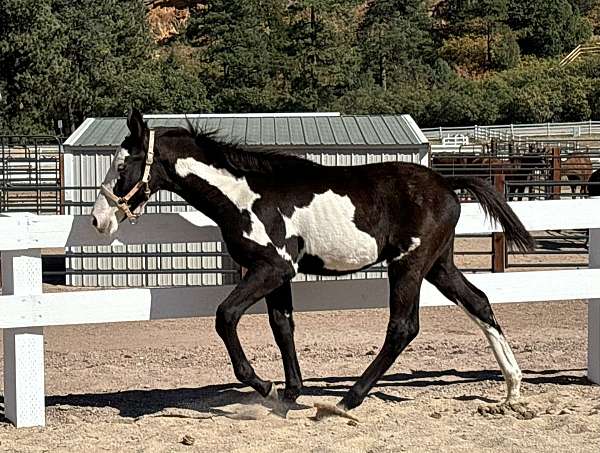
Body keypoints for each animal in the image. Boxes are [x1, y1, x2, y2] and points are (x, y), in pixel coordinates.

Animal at [90, 108, 536, 416]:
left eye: (122, 165)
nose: (98, 220)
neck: (245, 196)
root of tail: (446, 181)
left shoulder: (272, 268)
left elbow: (225, 316)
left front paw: (264, 386)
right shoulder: (278, 275)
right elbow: (282, 325)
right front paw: (289, 393)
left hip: (408, 265)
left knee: (403, 327)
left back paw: (348, 399)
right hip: (439, 265)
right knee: (479, 303)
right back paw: (512, 390)